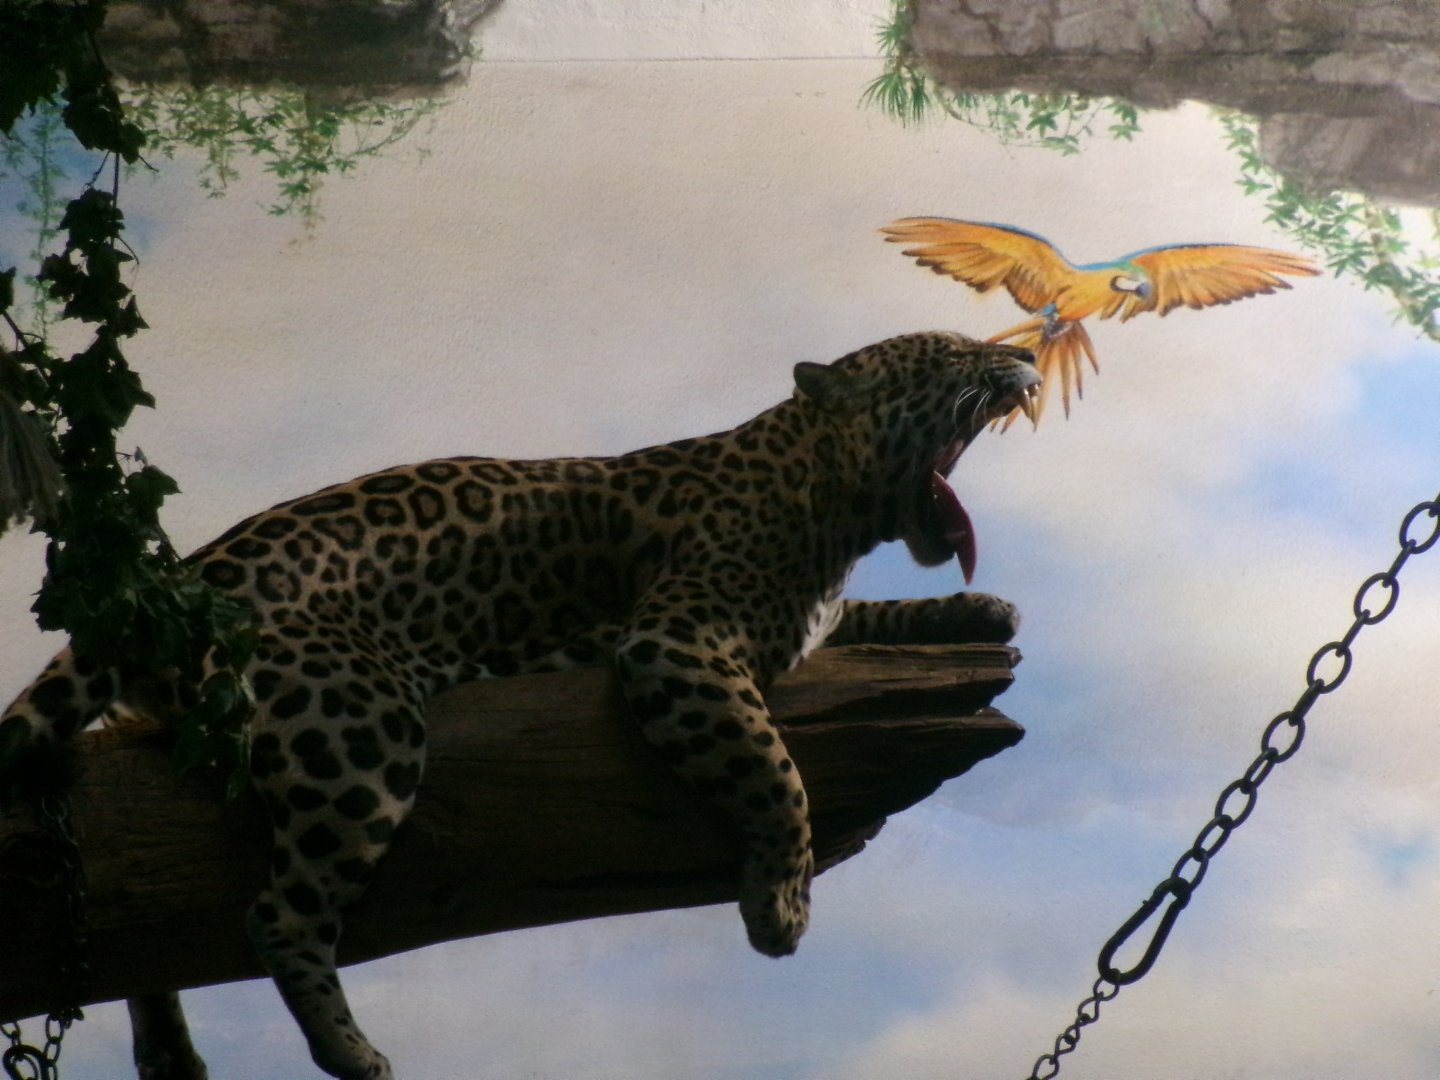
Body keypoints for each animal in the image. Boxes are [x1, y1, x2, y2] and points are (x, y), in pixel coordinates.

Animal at [0, 330, 1040, 1079]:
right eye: (950, 352)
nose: (1030, 361)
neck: (830, 498)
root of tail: (163, 591)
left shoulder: (805, 616)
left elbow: (873, 615)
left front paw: (981, 609)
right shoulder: (675, 644)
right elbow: (776, 772)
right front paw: (780, 903)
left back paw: (174, 1054)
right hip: (359, 728)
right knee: (277, 916)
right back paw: (353, 1052)